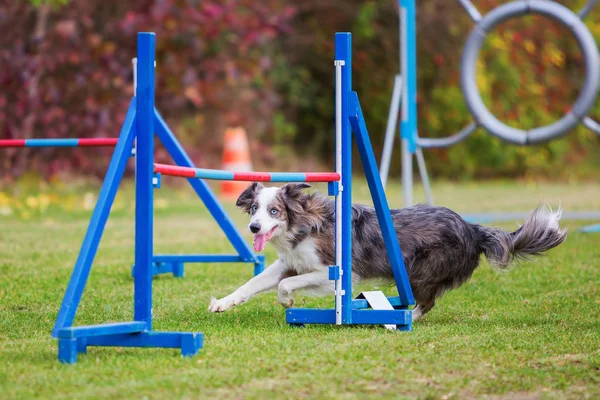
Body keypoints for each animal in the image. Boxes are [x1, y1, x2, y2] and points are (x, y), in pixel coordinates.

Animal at [209, 183, 564, 320]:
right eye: (254, 209)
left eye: (274, 211)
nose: (254, 228)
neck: (302, 224)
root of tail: (473, 228)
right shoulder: (290, 262)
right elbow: (252, 284)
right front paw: (223, 303)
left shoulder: (334, 272)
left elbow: (286, 284)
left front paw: (287, 301)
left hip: (419, 271)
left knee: (427, 302)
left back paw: (405, 317)